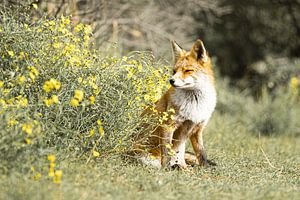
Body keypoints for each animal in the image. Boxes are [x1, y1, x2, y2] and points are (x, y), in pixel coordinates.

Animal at [133, 39, 216, 169]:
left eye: (188, 70)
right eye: (174, 71)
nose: (171, 80)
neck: (194, 105)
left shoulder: (197, 128)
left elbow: (201, 154)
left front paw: (205, 169)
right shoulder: (169, 125)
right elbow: (167, 153)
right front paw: (166, 169)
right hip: (145, 157)